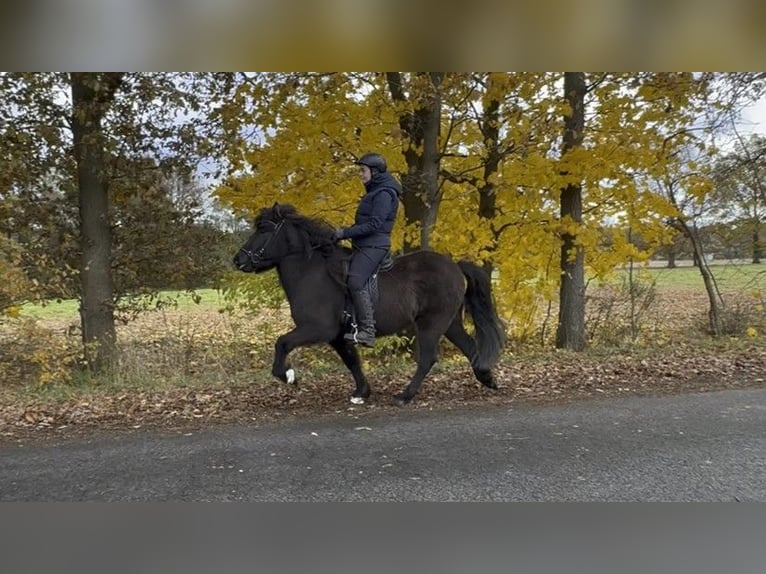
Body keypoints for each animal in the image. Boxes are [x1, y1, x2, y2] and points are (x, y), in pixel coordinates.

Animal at [234, 205, 510, 408]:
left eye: (264, 229)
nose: (238, 260)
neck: (313, 272)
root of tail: (454, 266)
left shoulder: (318, 329)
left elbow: (281, 342)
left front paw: (288, 375)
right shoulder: (338, 336)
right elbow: (352, 361)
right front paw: (362, 392)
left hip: (432, 324)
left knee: (428, 358)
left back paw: (406, 395)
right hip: (449, 323)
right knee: (470, 347)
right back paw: (487, 378)